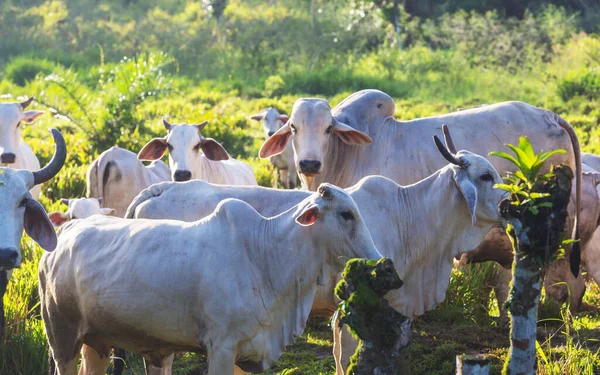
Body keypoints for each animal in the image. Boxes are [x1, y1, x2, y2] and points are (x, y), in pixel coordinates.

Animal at [39, 185, 382, 375]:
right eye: (346, 214)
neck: (265, 254)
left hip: (96, 343)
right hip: (63, 340)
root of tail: (63, 235)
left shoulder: (246, 351)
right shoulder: (220, 347)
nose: (378, 260)